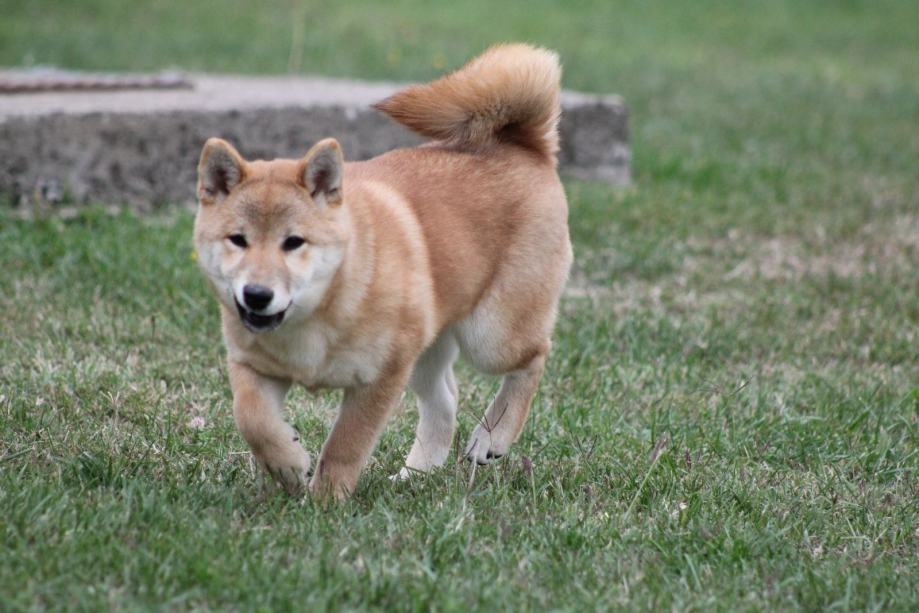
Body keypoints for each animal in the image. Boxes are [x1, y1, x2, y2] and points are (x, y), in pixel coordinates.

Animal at [193, 43, 573, 500]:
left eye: (294, 242)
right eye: (238, 239)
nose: (256, 295)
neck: (319, 313)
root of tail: (523, 145)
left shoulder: (381, 377)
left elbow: (345, 444)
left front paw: (326, 500)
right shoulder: (252, 366)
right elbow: (253, 420)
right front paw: (288, 464)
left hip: (490, 335)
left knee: (534, 358)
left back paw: (490, 437)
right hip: (428, 347)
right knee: (444, 401)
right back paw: (417, 474)